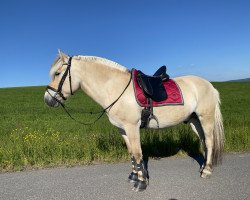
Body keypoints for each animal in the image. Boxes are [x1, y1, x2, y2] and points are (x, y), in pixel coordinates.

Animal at [44, 50, 225, 191]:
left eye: (57, 73)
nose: (47, 99)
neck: (116, 88)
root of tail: (210, 85)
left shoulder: (132, 127)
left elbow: (138, 153)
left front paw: (141, 183)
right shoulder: (122, 129)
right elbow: (131, 153)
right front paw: (134, 176)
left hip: (206, 118)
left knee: (210, 142)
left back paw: (207, 171)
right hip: (195, 121)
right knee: (204, 142)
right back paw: (203, 167)